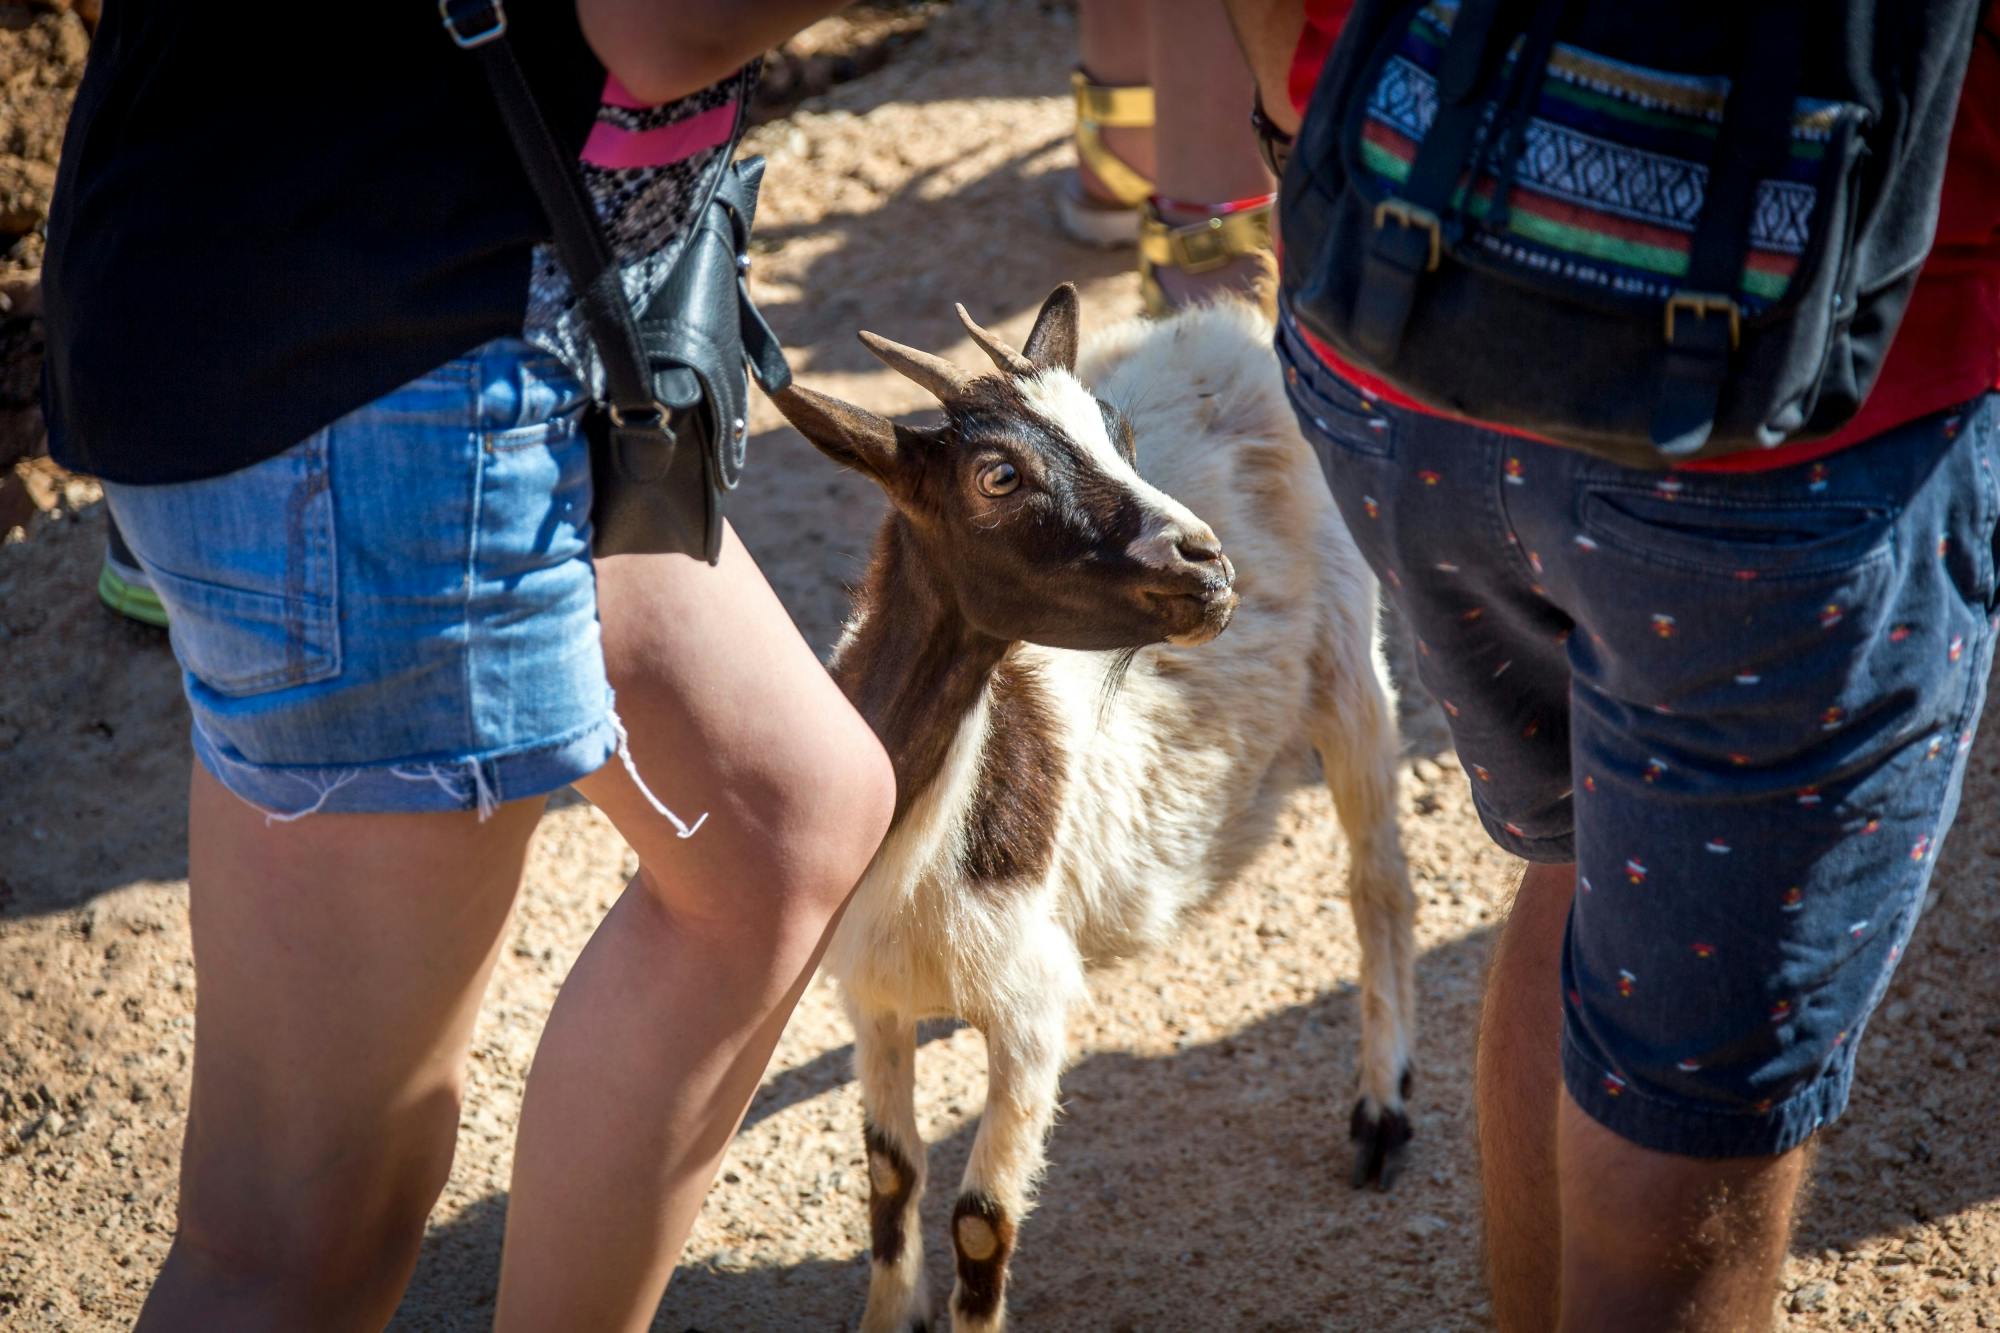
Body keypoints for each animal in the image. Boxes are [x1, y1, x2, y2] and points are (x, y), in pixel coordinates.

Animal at [768, 286, 1424, 1320]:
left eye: (1119, 435)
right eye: (999, 475)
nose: (1208, 567)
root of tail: (1229, 323)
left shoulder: (1032, 1010)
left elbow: (980, 1222)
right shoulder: (869, 990)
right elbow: (889, 1174)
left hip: (1355, 653)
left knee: (1379, 882)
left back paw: (1381, 1109)